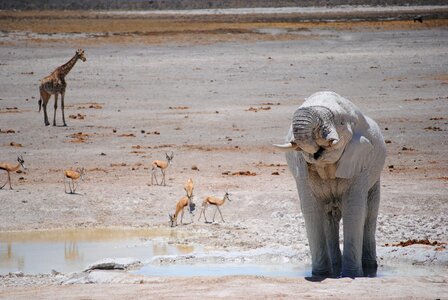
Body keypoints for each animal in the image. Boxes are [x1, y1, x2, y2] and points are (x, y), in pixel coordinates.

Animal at [274, 91, 386, 278]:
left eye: (340, 122)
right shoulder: (301, 171)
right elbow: (311, 210)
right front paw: (319, 275)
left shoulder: (359, 163)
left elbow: (354, 210)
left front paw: (351, 275)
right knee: (328, 218)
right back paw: (335, 266)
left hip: (375, 176)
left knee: (370, 213)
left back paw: (370, 268)